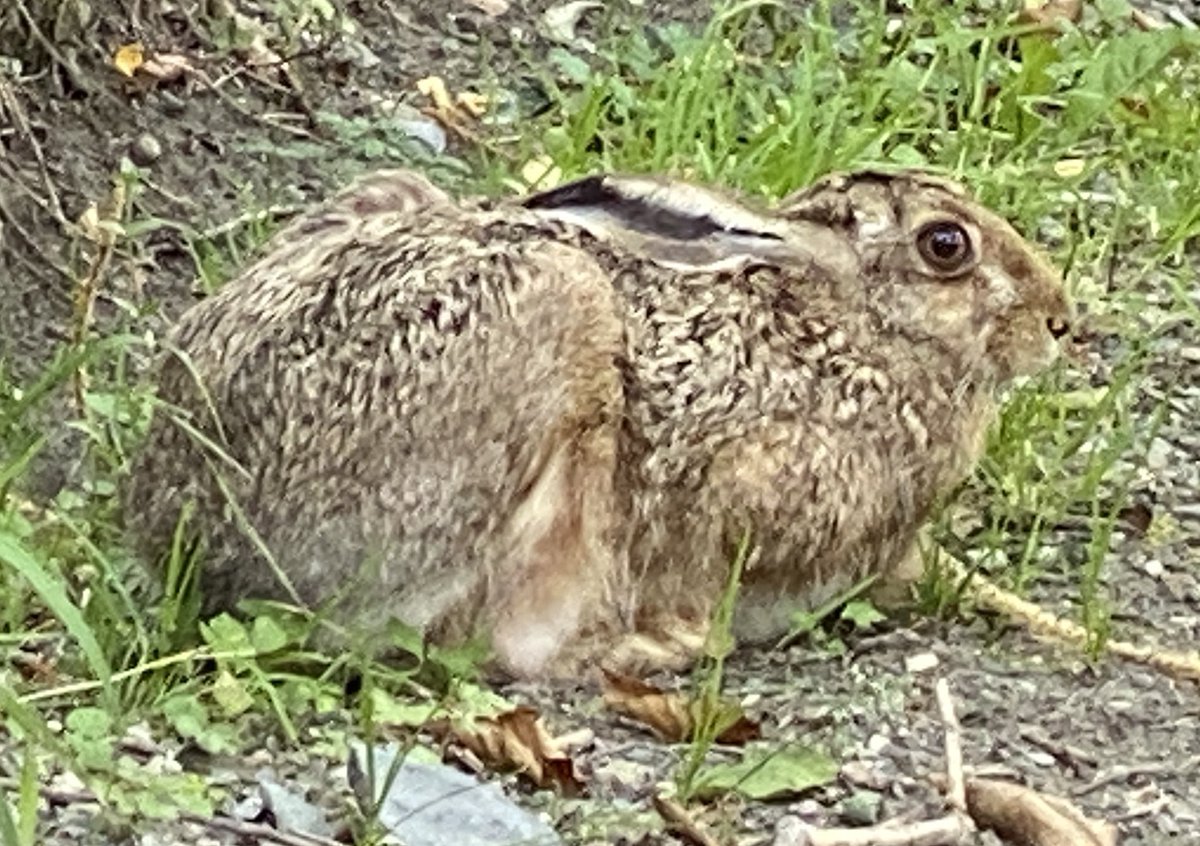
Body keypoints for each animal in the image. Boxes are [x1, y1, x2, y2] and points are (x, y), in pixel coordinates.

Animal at [123, 166, 1073, 679]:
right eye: (947, 246)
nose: (1061, 320)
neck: (852, 324)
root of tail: (185, 522)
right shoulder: (744, 498)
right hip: (548, 323)